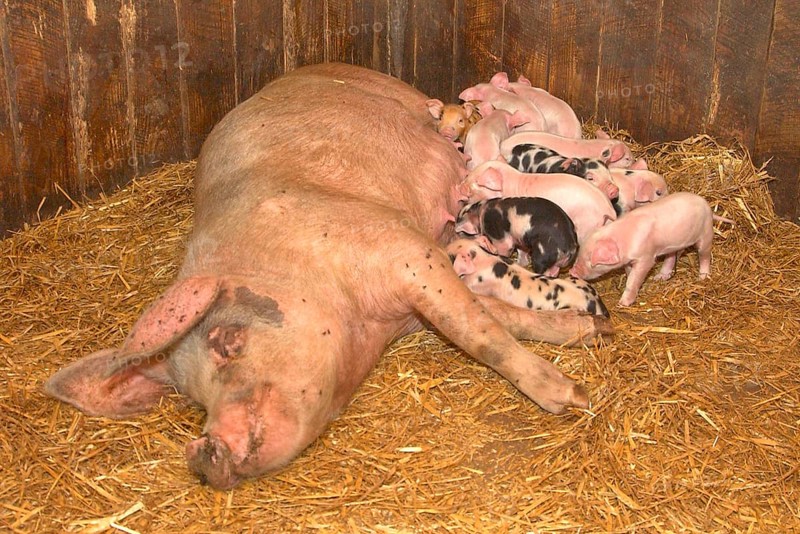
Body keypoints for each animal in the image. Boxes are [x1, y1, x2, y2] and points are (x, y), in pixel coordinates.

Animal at [570, 192, 717, 306]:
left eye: (590, 262)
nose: (572, 272)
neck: (624, 239)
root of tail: (705, 203)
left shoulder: (646, 258)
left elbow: (633, 279)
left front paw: (623, 303)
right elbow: (629, 273)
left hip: (706, 232)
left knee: (704, 255)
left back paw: (703, 278)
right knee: (672, 255)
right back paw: (659, 277)